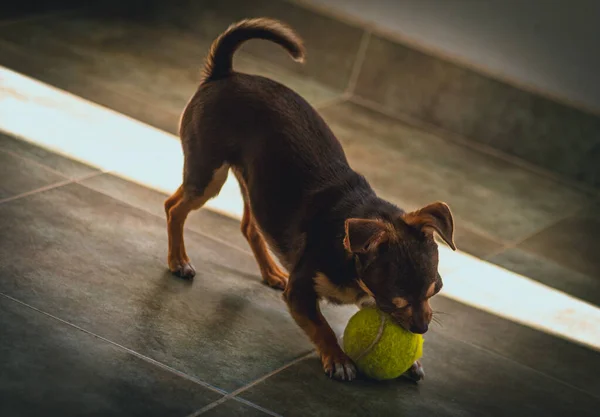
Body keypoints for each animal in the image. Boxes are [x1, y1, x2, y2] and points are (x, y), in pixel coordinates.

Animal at [164, 17, 454, 380]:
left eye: (434, 290)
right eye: (395, 299)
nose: (421, 329)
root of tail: (224, 73)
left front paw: (411, 360)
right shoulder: (300, 293)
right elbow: (322, 327)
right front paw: (339, 359)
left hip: (253, 186)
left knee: (246, 226)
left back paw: (271, 272)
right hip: (208, 173)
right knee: (174, 208)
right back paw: (178, 260)